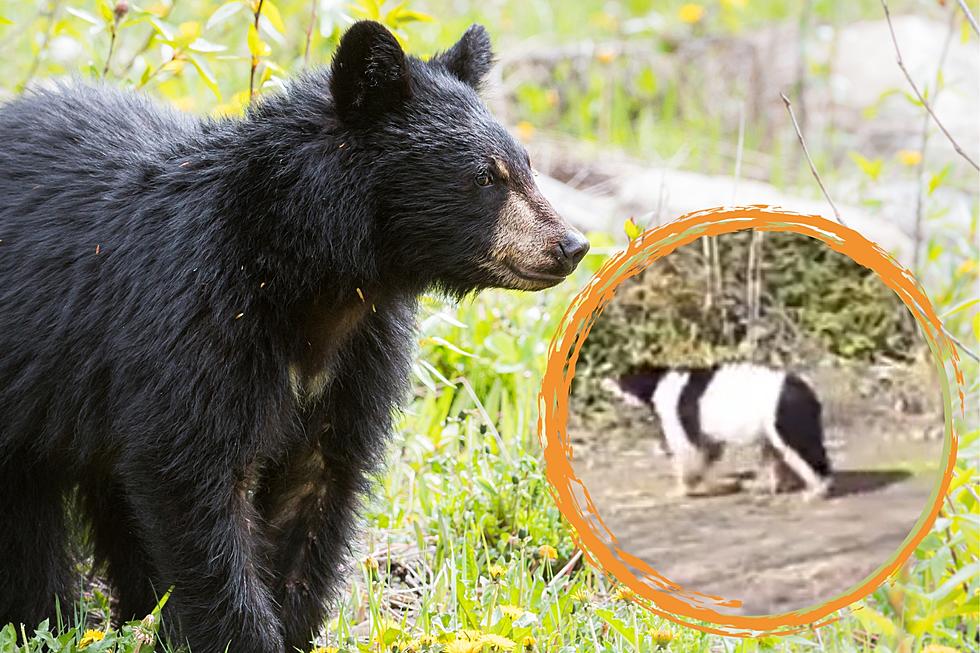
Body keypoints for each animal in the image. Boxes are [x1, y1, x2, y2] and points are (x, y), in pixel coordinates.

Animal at [0, 20, 588, 652]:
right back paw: (49, 616)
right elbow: (192, 477)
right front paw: (242, 635)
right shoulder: (196, 319)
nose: (571, 245)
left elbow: (313, 488)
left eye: (527, 165)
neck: (311, 282)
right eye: (486, 176)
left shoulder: (360, 354)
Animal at [600, 362, 832, 500]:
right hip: (773, 429)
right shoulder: (706, 435)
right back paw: (771, 486)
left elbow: (686, 456)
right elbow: (707, 453)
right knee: (776, 456)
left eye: (623, 379)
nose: (605, 381)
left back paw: (816, 490)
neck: (659, 383)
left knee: (807, 453)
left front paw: (681, 489)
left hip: (787, 423)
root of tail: (806, 389)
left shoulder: (682, 426)